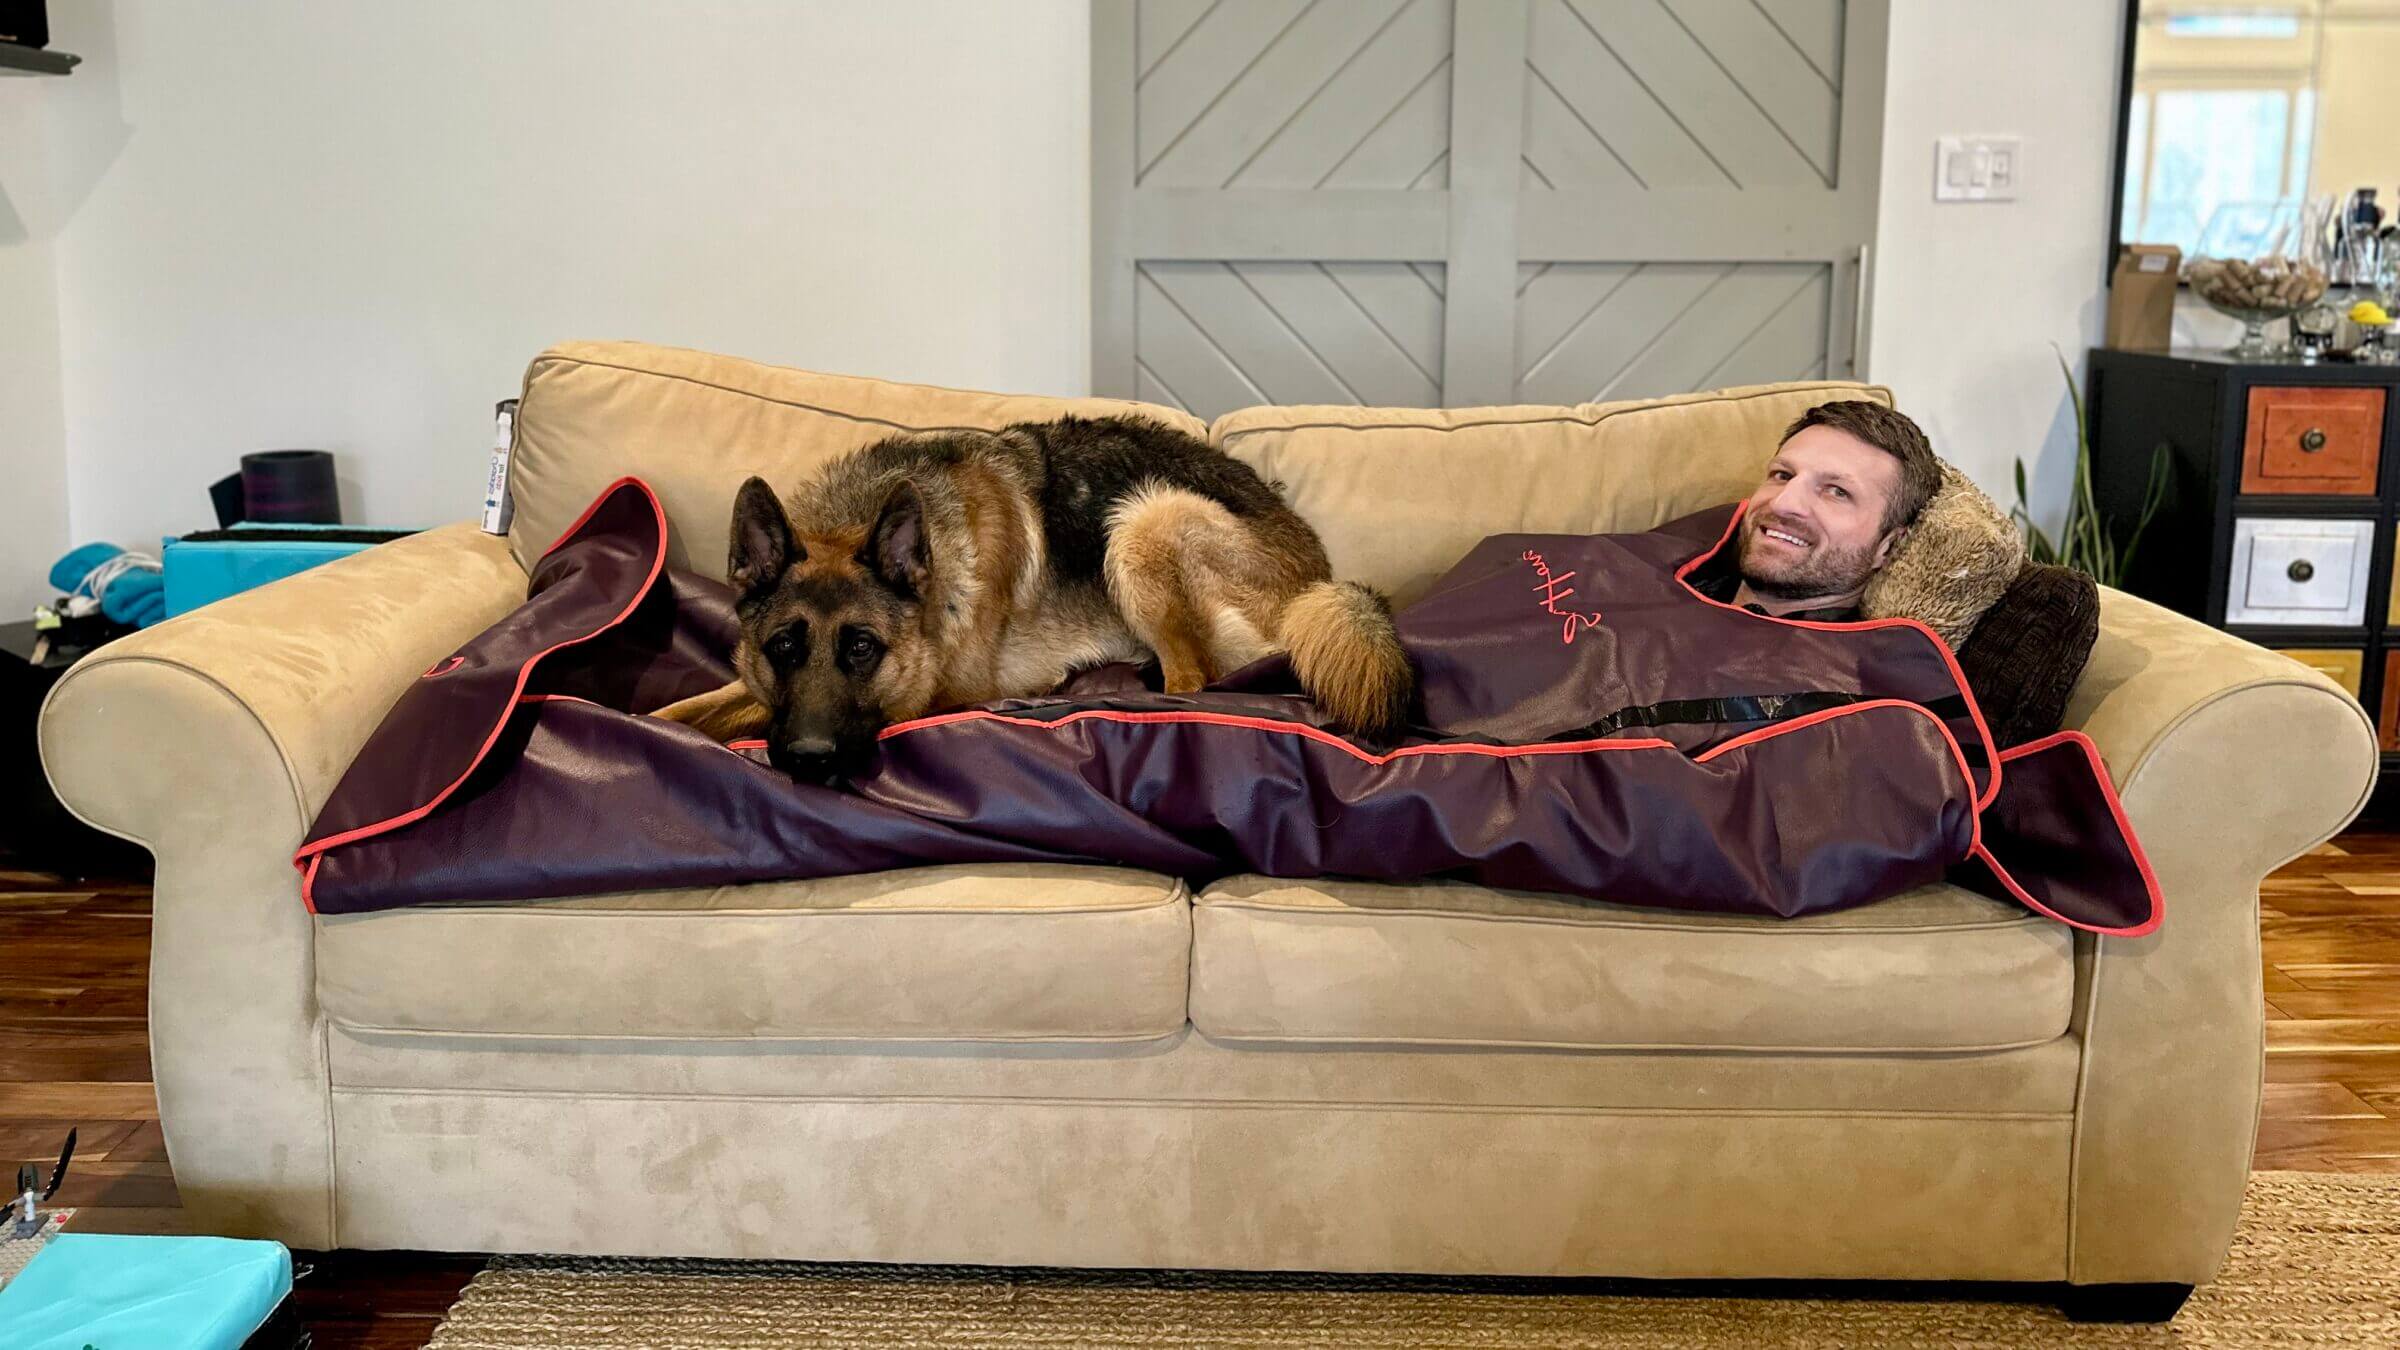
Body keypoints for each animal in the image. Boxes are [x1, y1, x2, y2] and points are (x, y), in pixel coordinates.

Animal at [648, 413, 1411, 778]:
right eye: (782, 647)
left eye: (862, 649)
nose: (808, 759)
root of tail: (1321, 575)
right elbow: (686, 710)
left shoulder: (934, 695)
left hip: (1141, 522)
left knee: (1198, 681)